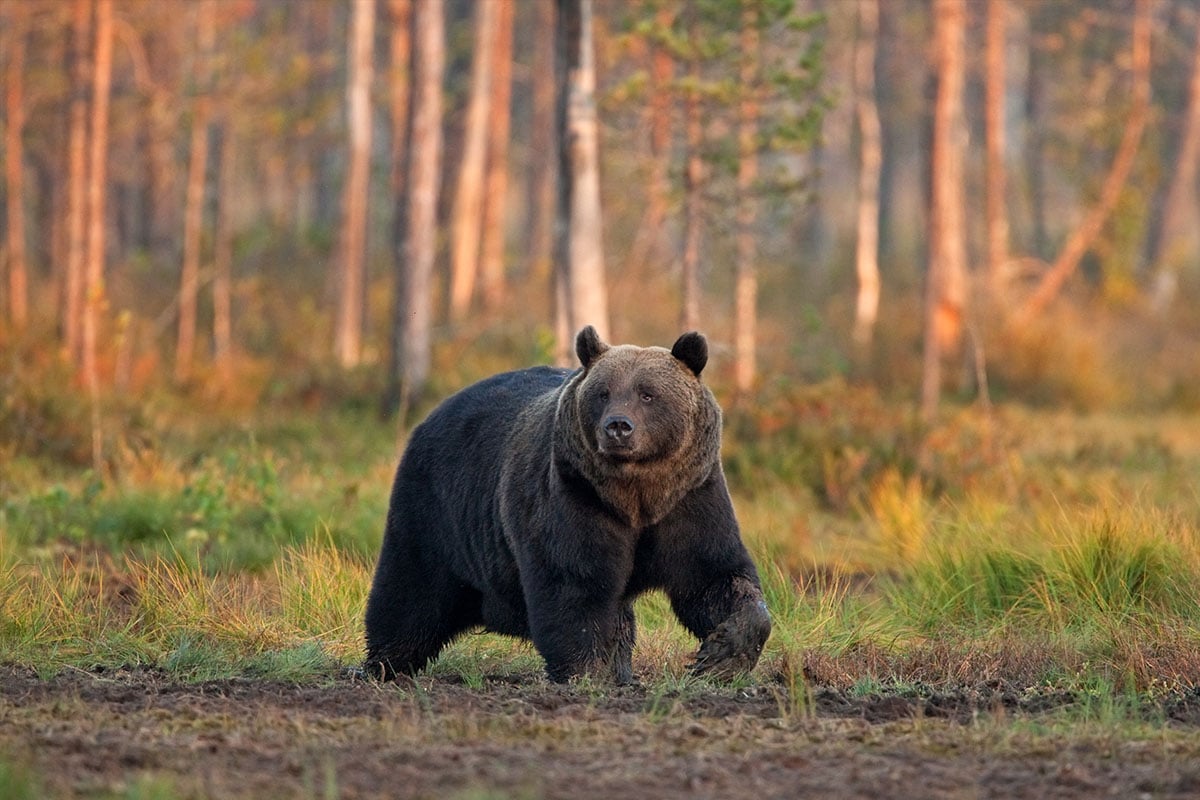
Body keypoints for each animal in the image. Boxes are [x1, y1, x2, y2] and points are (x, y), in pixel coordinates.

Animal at [362, 326, 768, 681]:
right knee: (410, 595)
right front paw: (586, 671)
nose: (618, 426)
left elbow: (716, 577)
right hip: (436, 511)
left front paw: (721, 655)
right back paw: (382, 664)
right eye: (603, 392)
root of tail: (432, 414)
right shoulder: (575, 495)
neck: (636, 497)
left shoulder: (689, 499)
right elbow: (574, 581)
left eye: (648, 394)